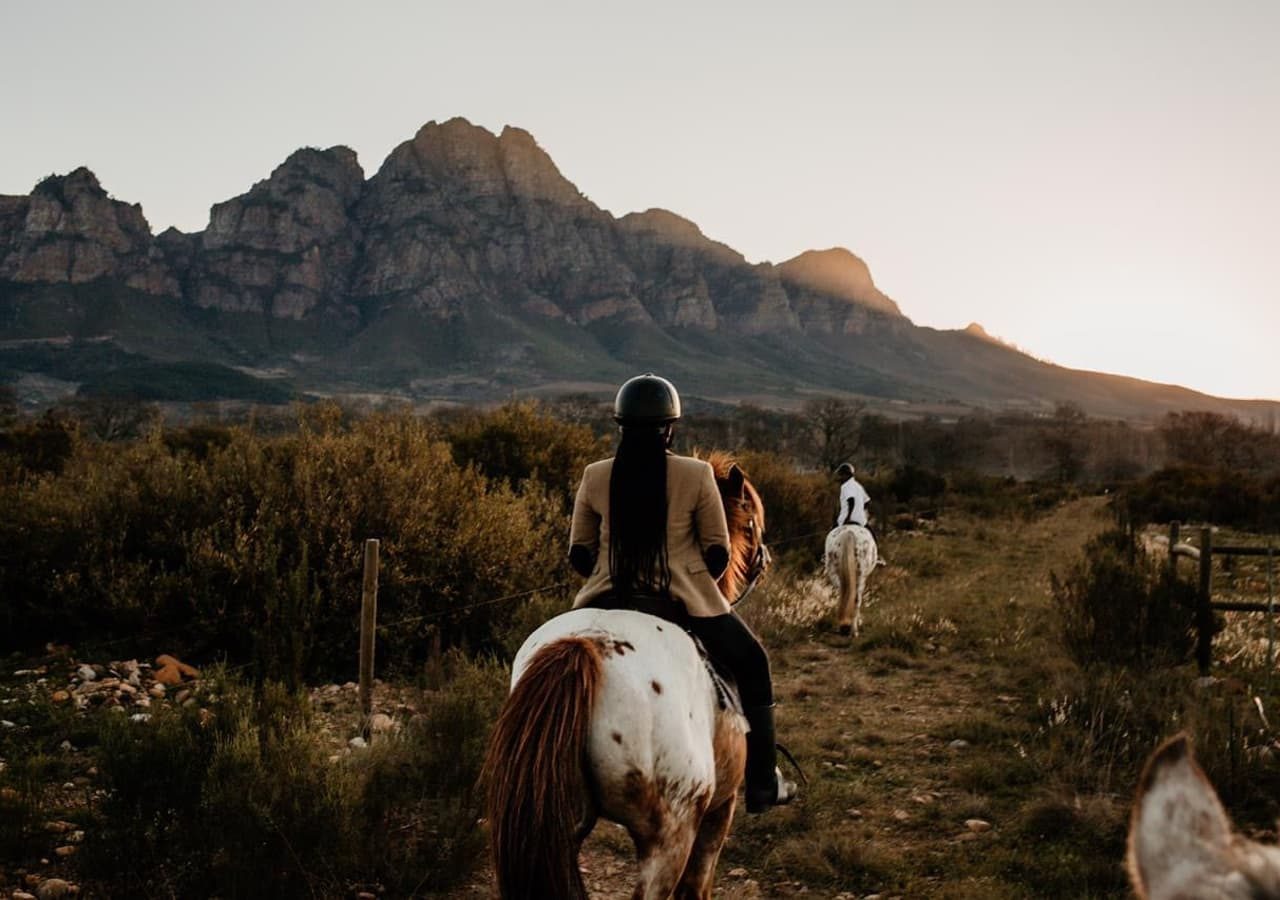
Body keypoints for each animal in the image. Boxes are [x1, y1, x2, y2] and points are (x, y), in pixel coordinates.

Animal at [481, 453, 768, 900]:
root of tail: (586, 648)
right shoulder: (720, 810)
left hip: (560, 823)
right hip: (670, 835)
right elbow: (697, 887)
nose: (763, 560)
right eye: (751, 520)